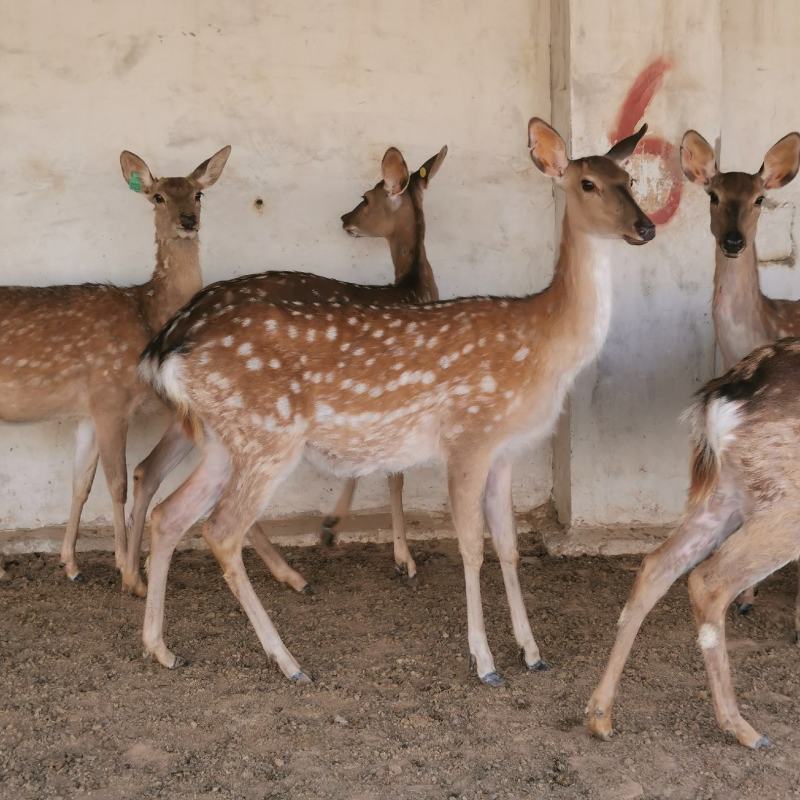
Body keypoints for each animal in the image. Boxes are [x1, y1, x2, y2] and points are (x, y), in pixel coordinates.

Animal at [0, 146, 230, 592]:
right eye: (158, 196)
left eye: (198, 194)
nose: (187, 221)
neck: (147, 315)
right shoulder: (110, 398)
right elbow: (118, 484)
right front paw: (130, 573)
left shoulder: (88, 411)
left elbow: (80, 485)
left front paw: (71, 563)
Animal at [122, 145, 447, 595]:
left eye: (364, 198)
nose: (344, 219)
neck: (411, 291)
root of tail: (170, 333)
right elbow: (391, 472)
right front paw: (397, 556)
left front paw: (338, 528)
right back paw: (288, 574)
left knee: (148, 470)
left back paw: (136, 574)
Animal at [587, 337, 800, 749]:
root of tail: (717, 400)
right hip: (783, 506)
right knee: (708, 580)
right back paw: (743, 728)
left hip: (726, 495)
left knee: (656, 564)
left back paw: (600, 715)